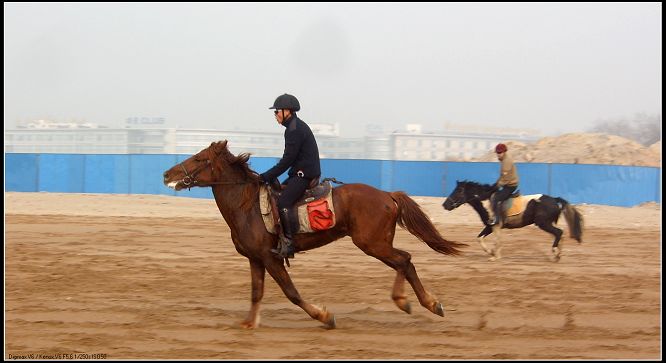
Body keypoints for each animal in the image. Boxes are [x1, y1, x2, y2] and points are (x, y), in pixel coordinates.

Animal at [161, 141, 464, 330]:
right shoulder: (255, 259)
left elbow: (291, 293)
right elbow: (256, 293)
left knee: (404, 260)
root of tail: (387, 194)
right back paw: (426, 304)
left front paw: (324, 316)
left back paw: (411, 302)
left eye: (199, 159)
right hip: (376, 244)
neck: (246, 207)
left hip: (372, 244)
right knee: (405, 261)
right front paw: (249, 323)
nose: (166, 174)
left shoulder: (271, 258)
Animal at [440, 181, 580, 262]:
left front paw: (494, 255)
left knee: (559, 233)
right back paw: (558, 255)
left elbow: (496, 240)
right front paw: (492, 252)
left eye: (458, 190)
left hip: (543, 223)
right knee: (559, 234)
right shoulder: (490, 226)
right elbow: (480, 238)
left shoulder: (495, 225)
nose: (445, 205)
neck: (487, 200)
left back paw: (555, 253)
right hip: (549, 223)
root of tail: (554, 199)